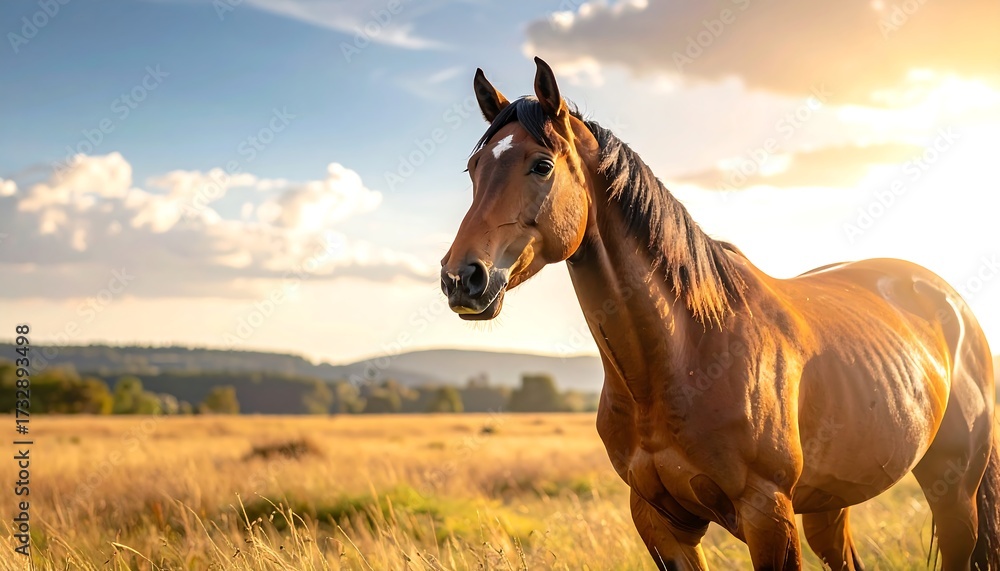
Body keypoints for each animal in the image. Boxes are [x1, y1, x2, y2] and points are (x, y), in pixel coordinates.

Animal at [439, 57, 999, 570]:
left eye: (541, 165)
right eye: (473, 169)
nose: (460, 278)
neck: (684, 352)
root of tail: (952, 304)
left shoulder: (767, 514)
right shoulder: (659, 522)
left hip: (953, 491)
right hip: (831, 502)